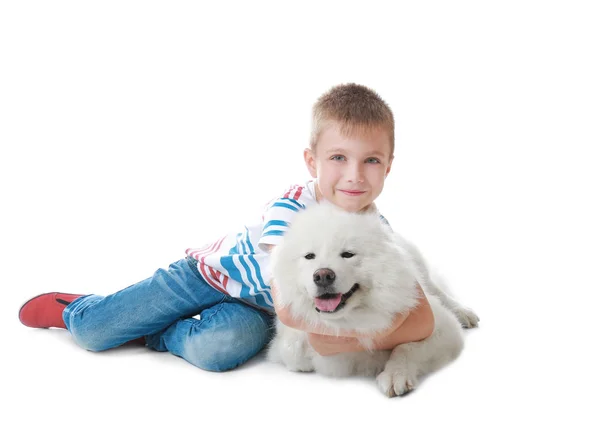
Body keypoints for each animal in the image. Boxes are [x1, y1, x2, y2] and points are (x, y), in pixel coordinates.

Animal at [268, 204, 478, 396]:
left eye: (348, 254)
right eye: (309, 256)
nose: (323, 276)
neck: (350, 320)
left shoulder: (443, 328)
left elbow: (406, 348)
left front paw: (395, 375)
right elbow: (293, 351)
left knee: (438, 291)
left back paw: (464, 313)